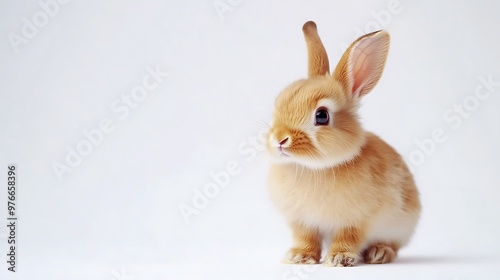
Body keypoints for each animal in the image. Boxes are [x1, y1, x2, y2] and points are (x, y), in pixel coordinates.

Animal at [268, 20, 420, 266]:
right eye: (278, 103)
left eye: (322, 116)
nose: (279, 139)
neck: (313, 169)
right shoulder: (302, 222)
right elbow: (306, 238)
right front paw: (299, 256)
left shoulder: (356, 220)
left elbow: (349, 237)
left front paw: (339, 258)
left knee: (393, 246)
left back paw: (379, 253)